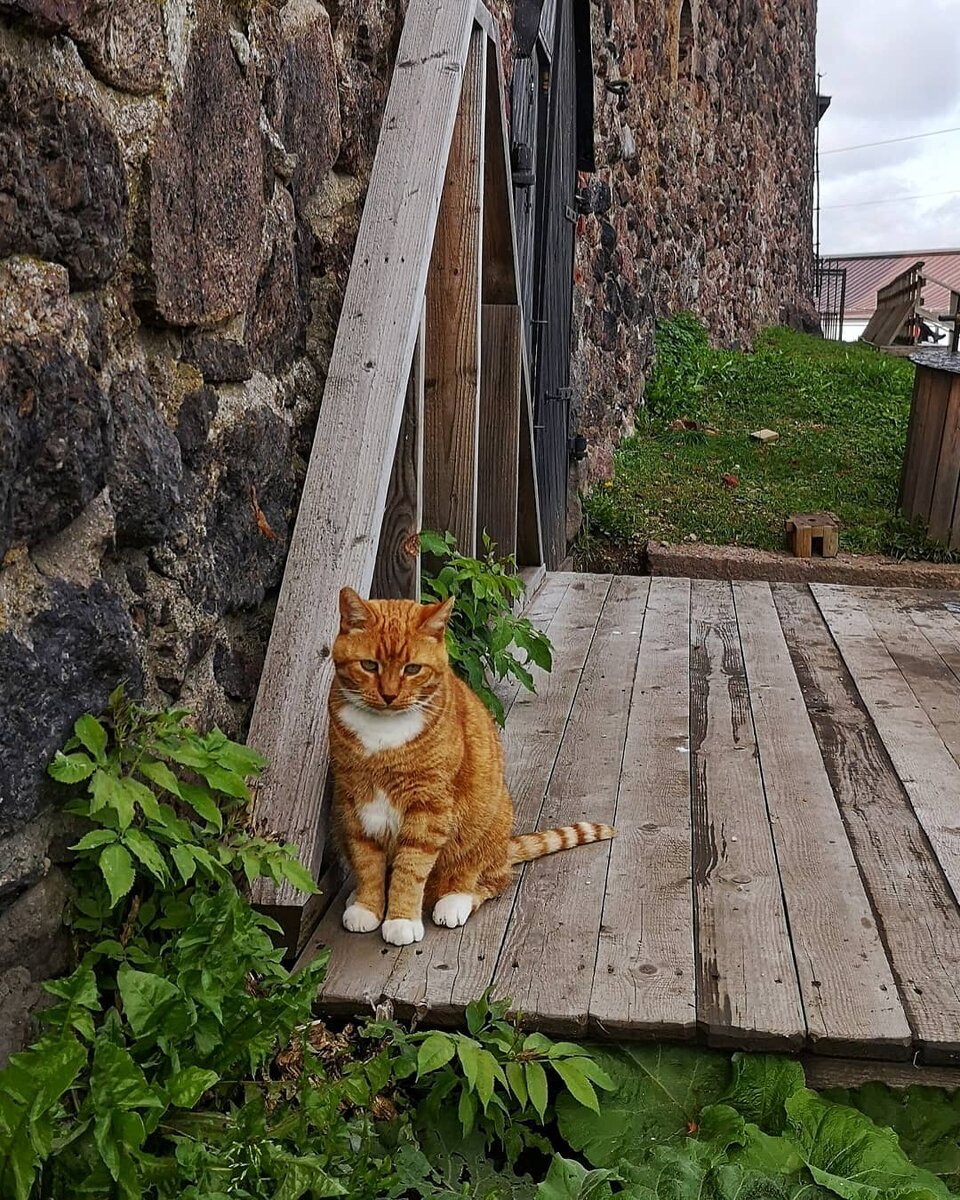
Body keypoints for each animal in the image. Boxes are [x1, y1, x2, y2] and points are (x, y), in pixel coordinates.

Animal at [331, 588, 614, 945]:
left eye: (412, 669)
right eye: (369, 665)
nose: (389, 695)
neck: (383, 734)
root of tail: (504, 848)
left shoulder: (429, 807)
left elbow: (411, 869)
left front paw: (401, 918)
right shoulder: (354, 800)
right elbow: (367, 861)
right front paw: (368, 906)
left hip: (488, 822)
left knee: (488, 880)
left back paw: (454, 901)